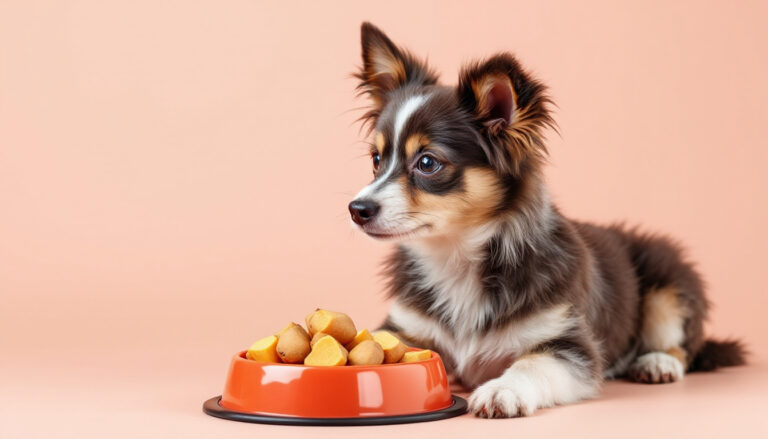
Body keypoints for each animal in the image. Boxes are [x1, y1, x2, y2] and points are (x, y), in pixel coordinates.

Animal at [348, 21, 744, 420]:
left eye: (427, 163)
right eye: (376, 160)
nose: (357, 209)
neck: (457, 256)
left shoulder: (569, 345)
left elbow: (531, 364)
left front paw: (502, 390)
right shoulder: (403, 328)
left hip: (669, 282)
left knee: (682, 345)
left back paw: (657, 362)